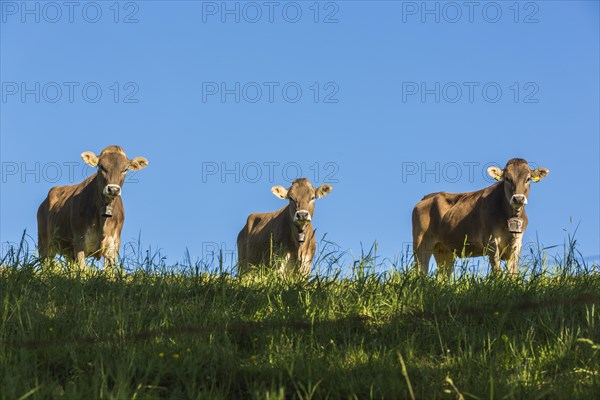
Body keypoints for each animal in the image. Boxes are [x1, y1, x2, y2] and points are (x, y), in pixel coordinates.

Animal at [412, 158, 548, 276]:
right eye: (507, 178)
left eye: (528, 179)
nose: (518, 198)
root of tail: (427, 197)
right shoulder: (491, 241)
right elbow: (498, 271)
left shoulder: (517, 243)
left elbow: (513, 272)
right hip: (421, 243)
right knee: (420, 271)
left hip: (444, 250)